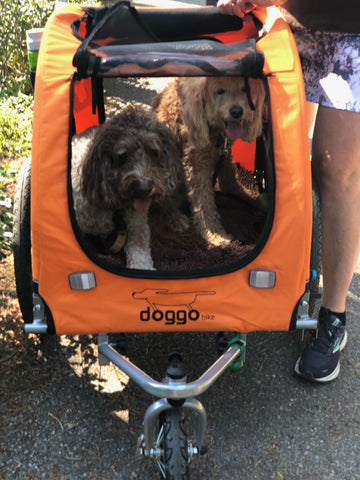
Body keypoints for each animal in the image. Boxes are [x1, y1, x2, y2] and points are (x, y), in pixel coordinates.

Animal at [70, 103, 188, 270]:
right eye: (123, 155)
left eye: (154, 152)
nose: (144, 188)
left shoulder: (137, 225)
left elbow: (139, 251)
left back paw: (177, 219)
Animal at [150, 76, 266, 248]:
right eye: (220, 91)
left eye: (245, 89)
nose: (236, 111)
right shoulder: (195, 163)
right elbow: (203, 201)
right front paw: (215, 233)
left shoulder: (225, 153)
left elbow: (229, 177)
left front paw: (243, 193)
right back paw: (176, 219)